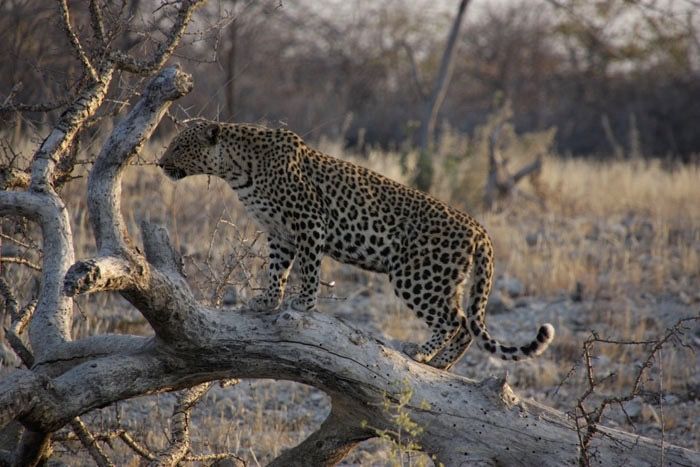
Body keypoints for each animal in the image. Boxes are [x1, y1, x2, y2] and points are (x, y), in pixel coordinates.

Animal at [158, 121, 555, 369]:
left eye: (179, 145)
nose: (160, 162)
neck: (237, 169)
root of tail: (479, 228)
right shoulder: (280, 234)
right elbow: (276, 271)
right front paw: (266, 302)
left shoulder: (309, 222)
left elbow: (309, 269)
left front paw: (302, 304)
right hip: (446, 280)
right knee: (466, 325)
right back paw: (441, 363)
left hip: (417, 276)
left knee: (453, 321)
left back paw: (422, 354)